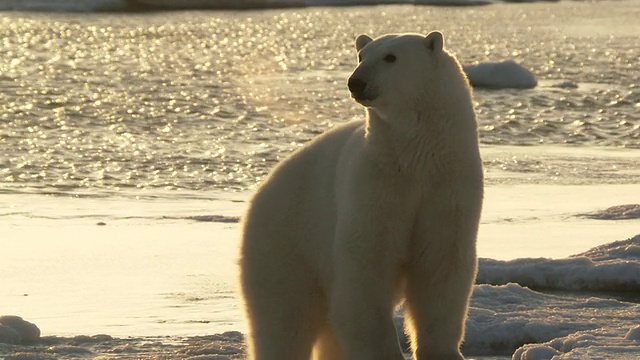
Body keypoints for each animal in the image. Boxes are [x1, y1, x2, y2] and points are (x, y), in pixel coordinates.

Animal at [241, 31, 484, 360]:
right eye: (361, 55)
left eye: (390, 57)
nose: (356, 82)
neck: (414, 159)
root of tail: (263, 189)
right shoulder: (374, 186)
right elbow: (367, 268)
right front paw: (385, 351)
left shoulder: (448, 187)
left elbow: (441, 264)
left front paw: (443, 351)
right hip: (286, 240)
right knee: (284, 315)